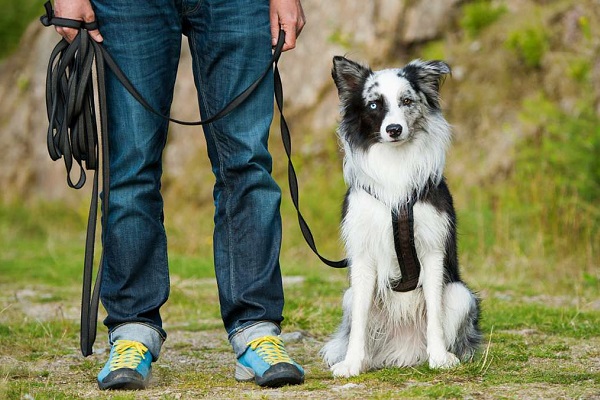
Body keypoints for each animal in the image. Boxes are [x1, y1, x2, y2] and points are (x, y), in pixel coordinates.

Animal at [322, 57, 480, 378]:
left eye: (406, 101)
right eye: (373, 104)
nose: (393, 129)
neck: (394, 163)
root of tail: (403, 350)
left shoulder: (432, 251)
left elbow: (434, 312)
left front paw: (439, 358)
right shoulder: (363, 255)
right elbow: (359, 323)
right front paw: (352, 363)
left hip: (461, 294)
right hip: (349, 296)